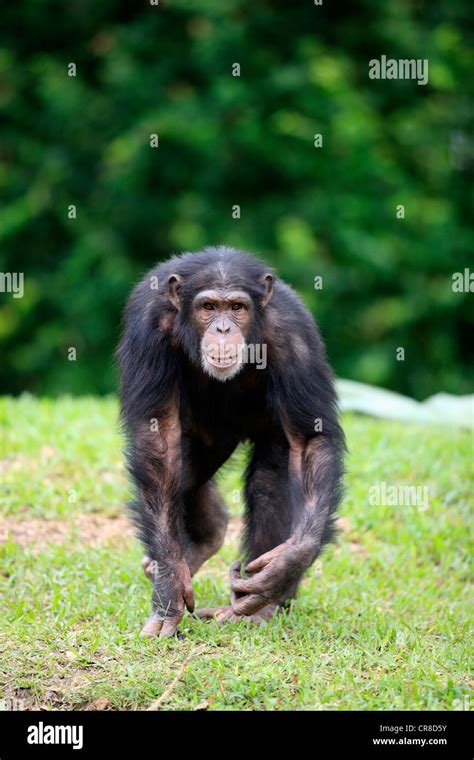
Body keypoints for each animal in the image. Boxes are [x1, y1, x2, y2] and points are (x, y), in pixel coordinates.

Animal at [115, 246, 344, 640]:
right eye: (208, 307)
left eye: (237, 307)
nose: (223, 327)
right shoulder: (147, 326)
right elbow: (157, 439)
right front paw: (169, 589)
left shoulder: (295, 333)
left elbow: (311, 437)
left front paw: (287, 563)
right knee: (182, 474)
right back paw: (202, 540)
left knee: (269, 480)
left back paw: (262, 605)